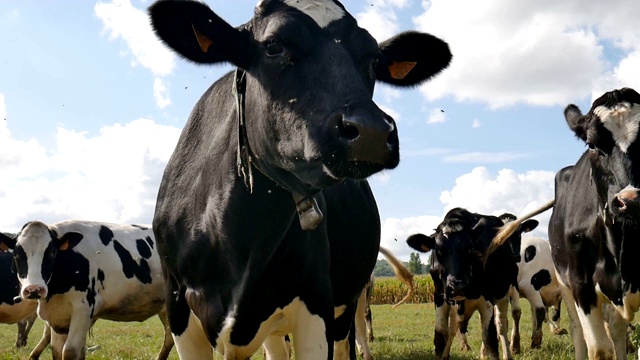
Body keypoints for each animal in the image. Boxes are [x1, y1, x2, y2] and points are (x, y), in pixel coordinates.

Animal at [0, 221, 175, 360]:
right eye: (16, 255)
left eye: (52, 253)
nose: (34, 289)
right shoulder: (57, 317)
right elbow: (57, 351)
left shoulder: (83, 310)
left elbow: (70, 351)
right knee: (169, 337)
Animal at [148, 0, 452, 358]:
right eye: (273, 46)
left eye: (373, 60)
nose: (372, 131)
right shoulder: (180, 309)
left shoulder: (316, 303)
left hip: (346, 303)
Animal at [410, 208, 536, 360]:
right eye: (439, 251)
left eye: (469, 250)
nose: (457, 286)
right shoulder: (440, 297)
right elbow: (440, 337)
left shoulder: (488, 299)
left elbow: (490, 339)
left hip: (503, 293)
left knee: (501, 324)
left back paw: (508, 353)